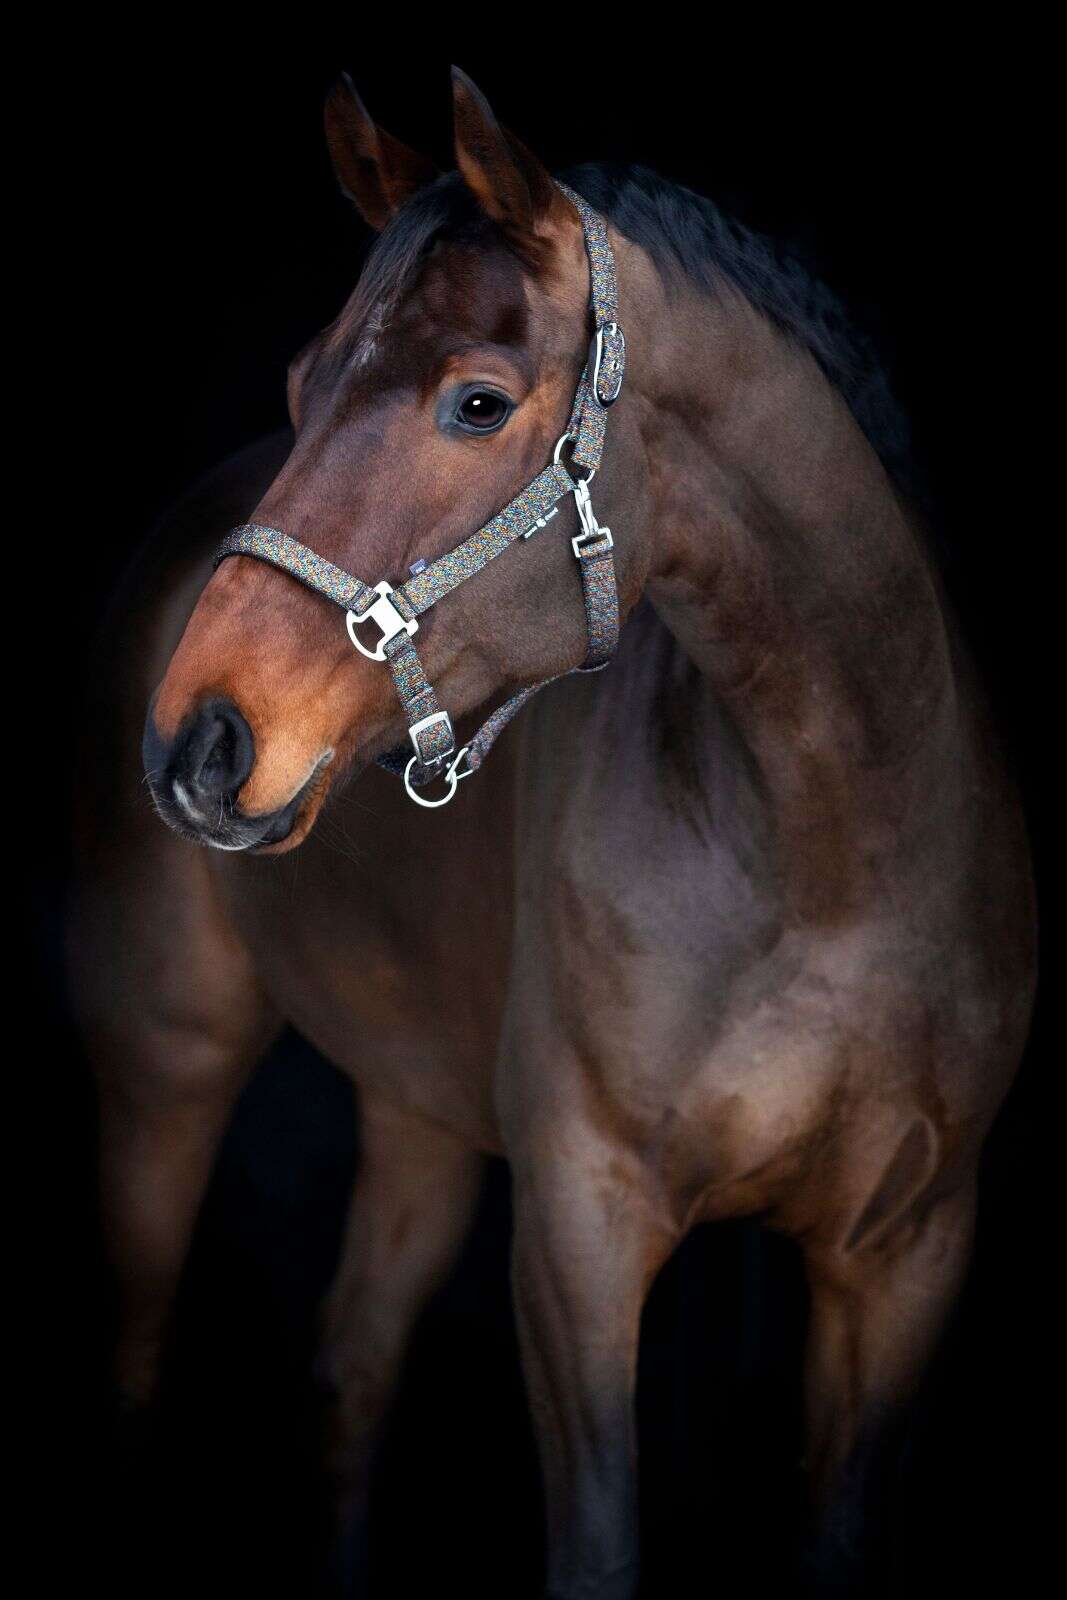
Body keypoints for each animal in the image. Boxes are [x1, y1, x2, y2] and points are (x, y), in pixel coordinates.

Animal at [69, 68, 1036, 1598]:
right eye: (298, 384)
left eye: (476, 403)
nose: (197, 742)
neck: (833, 854)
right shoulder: (579, 1232)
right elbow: (595, 1549)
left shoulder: (907, 1255)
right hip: (163, 1070)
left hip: (414, 1113)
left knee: (348, 1376)